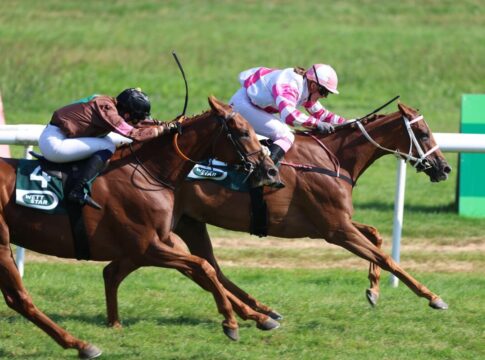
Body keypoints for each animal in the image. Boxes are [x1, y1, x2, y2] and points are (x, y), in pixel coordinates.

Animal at [0, 97, 280, 358]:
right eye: (243, 132)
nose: (271, 171)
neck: (149, 172)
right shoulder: (147, 247)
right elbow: (203, 266)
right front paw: (231, 321)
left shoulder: (163, 241)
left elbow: (204, 271)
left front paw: (259, 316)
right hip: (3, 245)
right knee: (21, 299)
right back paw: (81, 345)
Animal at [101, 101, 450, 330]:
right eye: (422, 132)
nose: (444, 168)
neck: (333, 158)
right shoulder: (335, 229)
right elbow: (386, 258)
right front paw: (433, 297)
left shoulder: (336, 224)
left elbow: (376, 237)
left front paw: (374, 290)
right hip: (163, 228)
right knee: (190, 266)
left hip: (187, 223)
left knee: (201, 266)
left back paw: (262, 311)